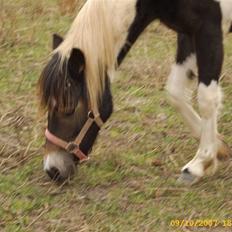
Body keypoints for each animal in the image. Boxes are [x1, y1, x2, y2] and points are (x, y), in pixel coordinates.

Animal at [38, 0, 232, 185]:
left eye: (68, 108)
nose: (53, 170)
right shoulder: (187, 32)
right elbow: (175, 92)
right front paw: (219, 147)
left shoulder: (208, 30)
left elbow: (206, 100)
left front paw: (198, 164)